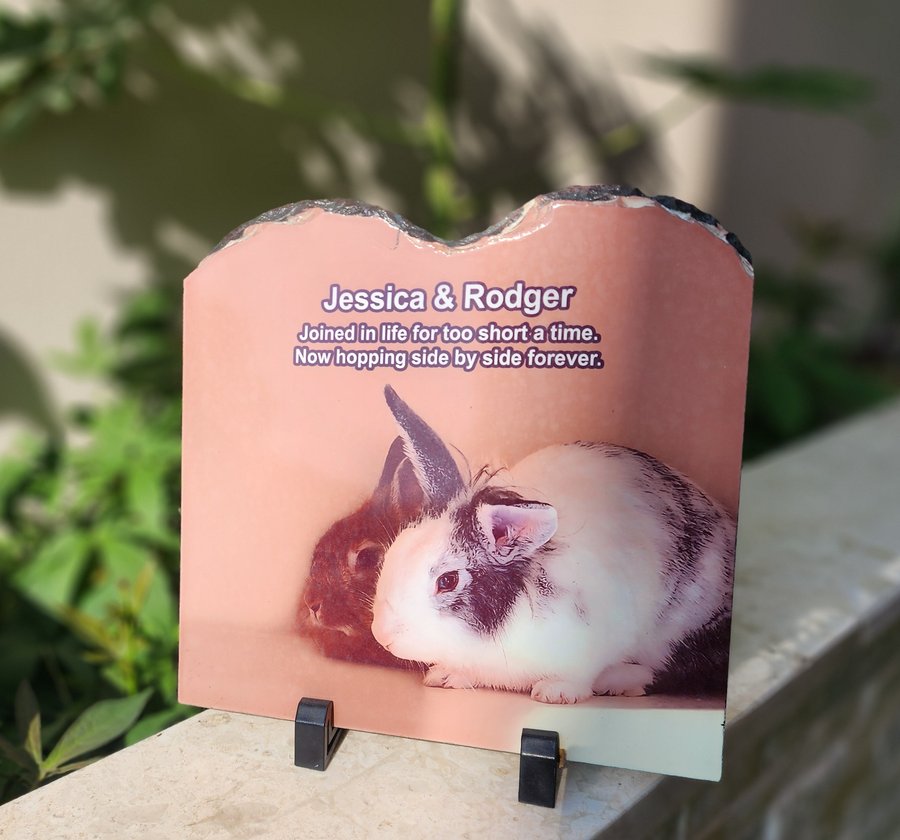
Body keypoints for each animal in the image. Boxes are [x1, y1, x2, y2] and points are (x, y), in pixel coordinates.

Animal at [371, 386, 735, 703]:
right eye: (391, 554)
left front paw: (556, 693)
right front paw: (446, 675)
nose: (381, 636)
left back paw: (617, 680)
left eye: (447, 581)